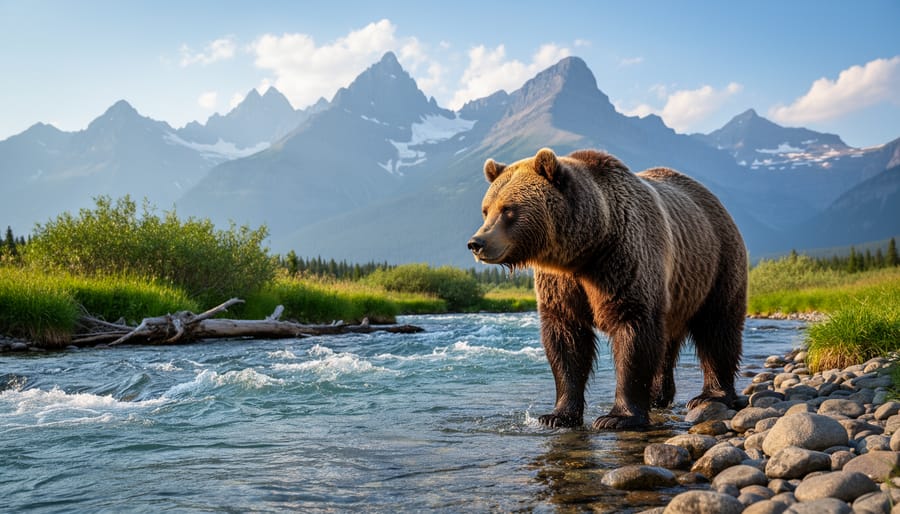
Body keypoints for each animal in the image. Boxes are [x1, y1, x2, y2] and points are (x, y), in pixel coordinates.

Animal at [467, 148, 747, 429]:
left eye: (508, 209)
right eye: (486, 210)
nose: (476, 242)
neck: (587, 249)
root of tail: (712, 199)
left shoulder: (625, 262)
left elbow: (633, 333)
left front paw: (617, 417)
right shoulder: (562, 285)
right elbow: (566, 341)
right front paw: (557, 415)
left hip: (716, 264)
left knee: (717, 329)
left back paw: (711, 395)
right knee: (667, 341)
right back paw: (657, 396)